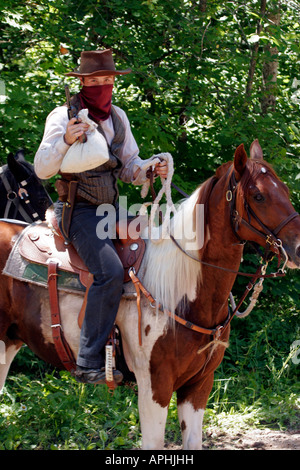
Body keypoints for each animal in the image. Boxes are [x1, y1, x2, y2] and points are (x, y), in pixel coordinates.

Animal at [0, 141, 300, 450]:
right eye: (258, 195)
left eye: (286, 190)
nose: (297, 247)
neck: (181, 292)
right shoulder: (154, 386)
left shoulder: (199, 385)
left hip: (10, 342)